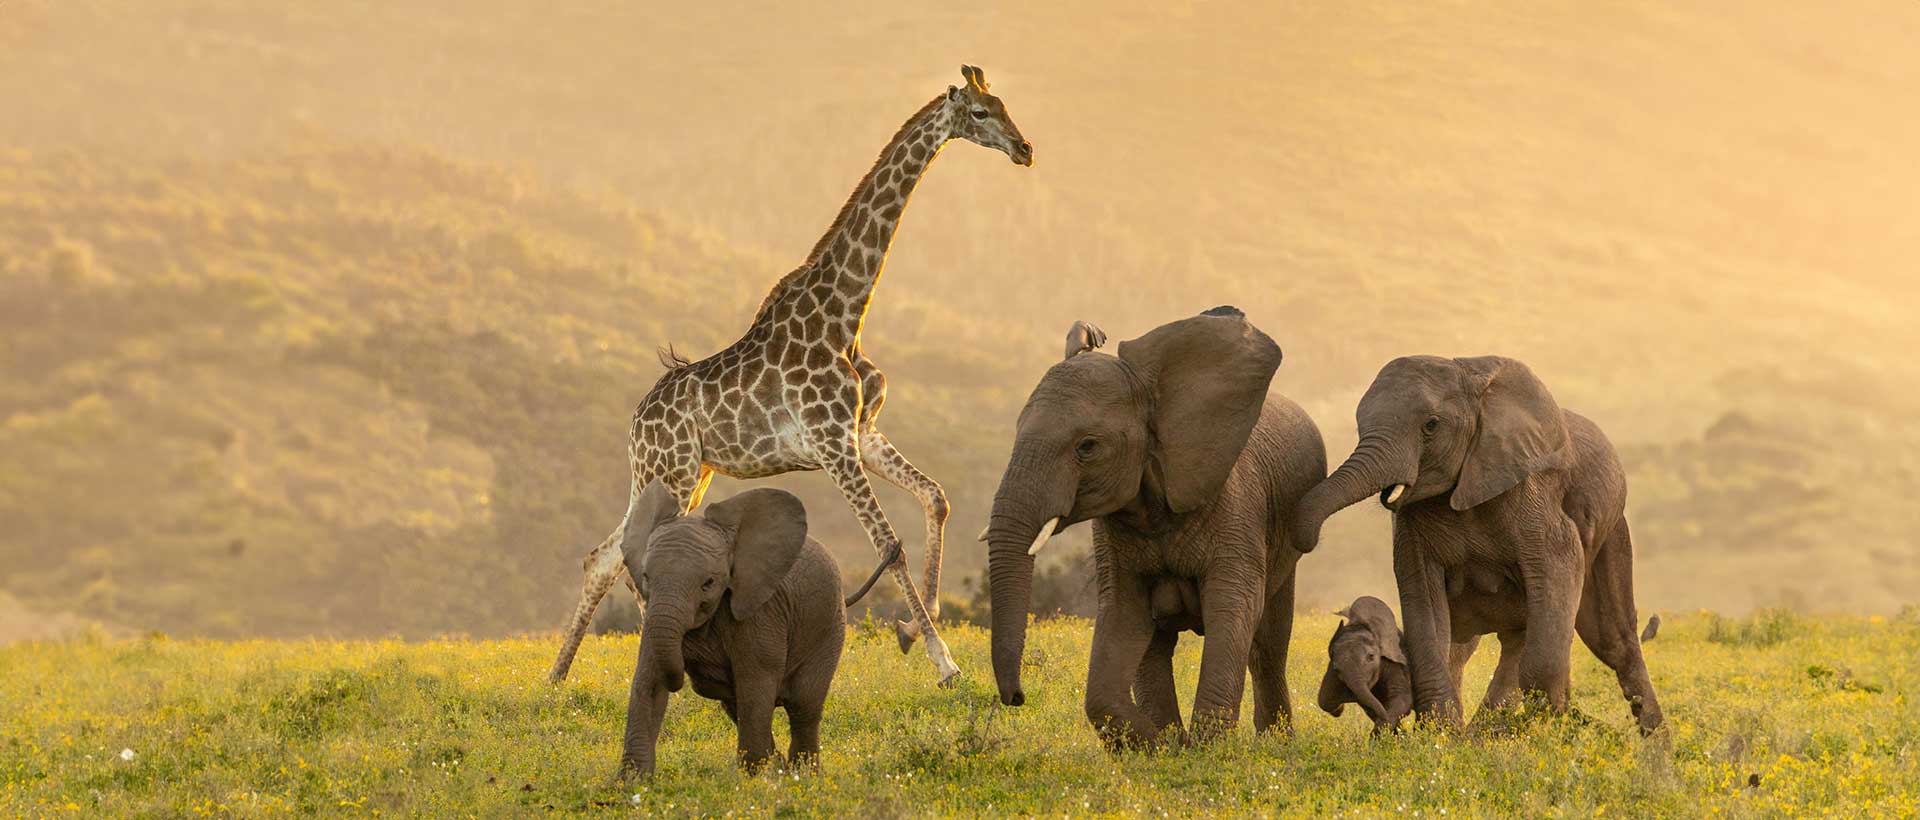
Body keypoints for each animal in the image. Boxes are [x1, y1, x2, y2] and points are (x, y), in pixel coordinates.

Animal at [546, 65, 1033, 686]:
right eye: (980, 113)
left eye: (1004, 104)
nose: (1025, 149)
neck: (845, 313)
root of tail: (634, 424)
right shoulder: (831, 444)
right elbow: (889, 544)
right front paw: (943, 660)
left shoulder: (861, 433)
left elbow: (936, 497)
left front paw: (913, 629)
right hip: (672, 472)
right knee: (633, 553)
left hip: (684, 473)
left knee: (603, 556)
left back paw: (556, 680)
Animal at [615, 480, 847, 778]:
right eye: (645, 577)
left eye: (709, 583)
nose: (680, 682)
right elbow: (649, 683)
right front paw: (631, 783)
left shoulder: (760, 612)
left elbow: (756, 686)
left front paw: (752, 781)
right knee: (736, 705)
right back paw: (782, 769)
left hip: (830, 626)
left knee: (802, 705)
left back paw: (802, 776)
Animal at [983, 307, 1327, 748]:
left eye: (1087, 447)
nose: (1016, 698)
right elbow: (1123, 614)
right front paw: (1164, 746)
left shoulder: (1237, 503)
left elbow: (1233, 605)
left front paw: (1204, 748)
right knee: (1159, 645)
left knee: (1266, 644)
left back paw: (1275, 744)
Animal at [1315, 596, 1413, 734]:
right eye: (1336, 667)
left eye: (1371, 656)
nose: (1340, 709)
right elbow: (1325, 700)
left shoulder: (1396, 662)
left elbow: (1402, 698)